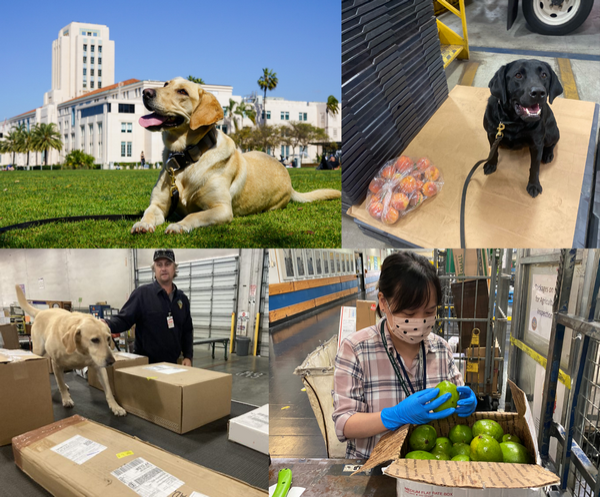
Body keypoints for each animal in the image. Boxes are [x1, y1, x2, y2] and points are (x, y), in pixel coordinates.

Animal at [15, 282, 125, 414]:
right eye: (94, 340)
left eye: (108, 339)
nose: (111, 361)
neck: (80, 351)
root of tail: (40, 312)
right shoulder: (56, 363)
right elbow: (60, 382)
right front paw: (66, 399)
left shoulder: (99, 366)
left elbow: (108, 388)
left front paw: (115, 406)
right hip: (39, 351)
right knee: (56, 377)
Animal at [132, 76, 342, 234]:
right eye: (165, 84)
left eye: (182, 92)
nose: (145, 92)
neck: (187, 157)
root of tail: (289, 181)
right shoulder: (158, 204)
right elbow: (148, 213)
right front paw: (142, 224)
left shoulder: (221, 209)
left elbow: (193, 215)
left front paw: (179, 225)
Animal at [482, 58, 564, 198]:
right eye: (518, 75)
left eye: (544, 75)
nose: (538, 92)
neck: (513, 121)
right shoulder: (492, 134)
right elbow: (493, 152)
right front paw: (491, 164)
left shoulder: (537, 144)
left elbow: (535, 167)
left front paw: (534, 185)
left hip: (550, 133)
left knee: (554, 142)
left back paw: (548, 154)